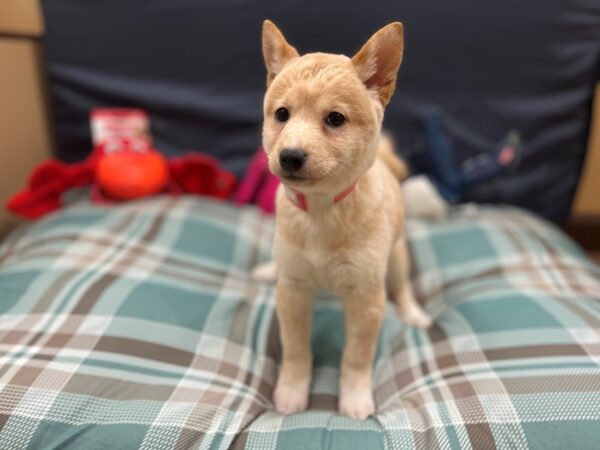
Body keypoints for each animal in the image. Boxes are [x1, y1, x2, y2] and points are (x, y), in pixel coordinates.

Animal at [262, 20, 432, 422]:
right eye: (281, 115)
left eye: (335, 119)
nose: (289, 156)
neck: (322, 212)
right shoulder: (293, 290)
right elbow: (295, 351)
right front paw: (291, 391)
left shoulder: (366, 296)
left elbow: (356, 357)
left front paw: (354, 398)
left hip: (396, 261)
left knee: (402, 288)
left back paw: (414, 312)